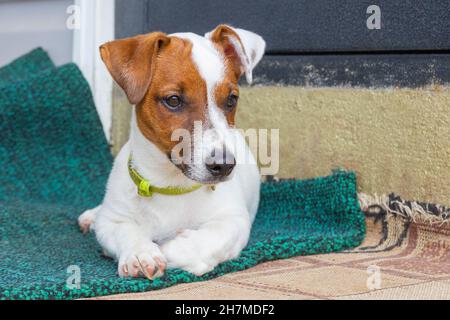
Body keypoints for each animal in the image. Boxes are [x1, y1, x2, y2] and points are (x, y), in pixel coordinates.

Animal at [79, 25, 266, 278]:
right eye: (174, 100)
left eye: (231, 100)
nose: (224, 165)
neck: (171, 185)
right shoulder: (112, 221)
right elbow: (125, 231)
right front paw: (141, 253)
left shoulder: (233, 220)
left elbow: (201, 242)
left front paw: (169, 246)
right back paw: (92, 215)